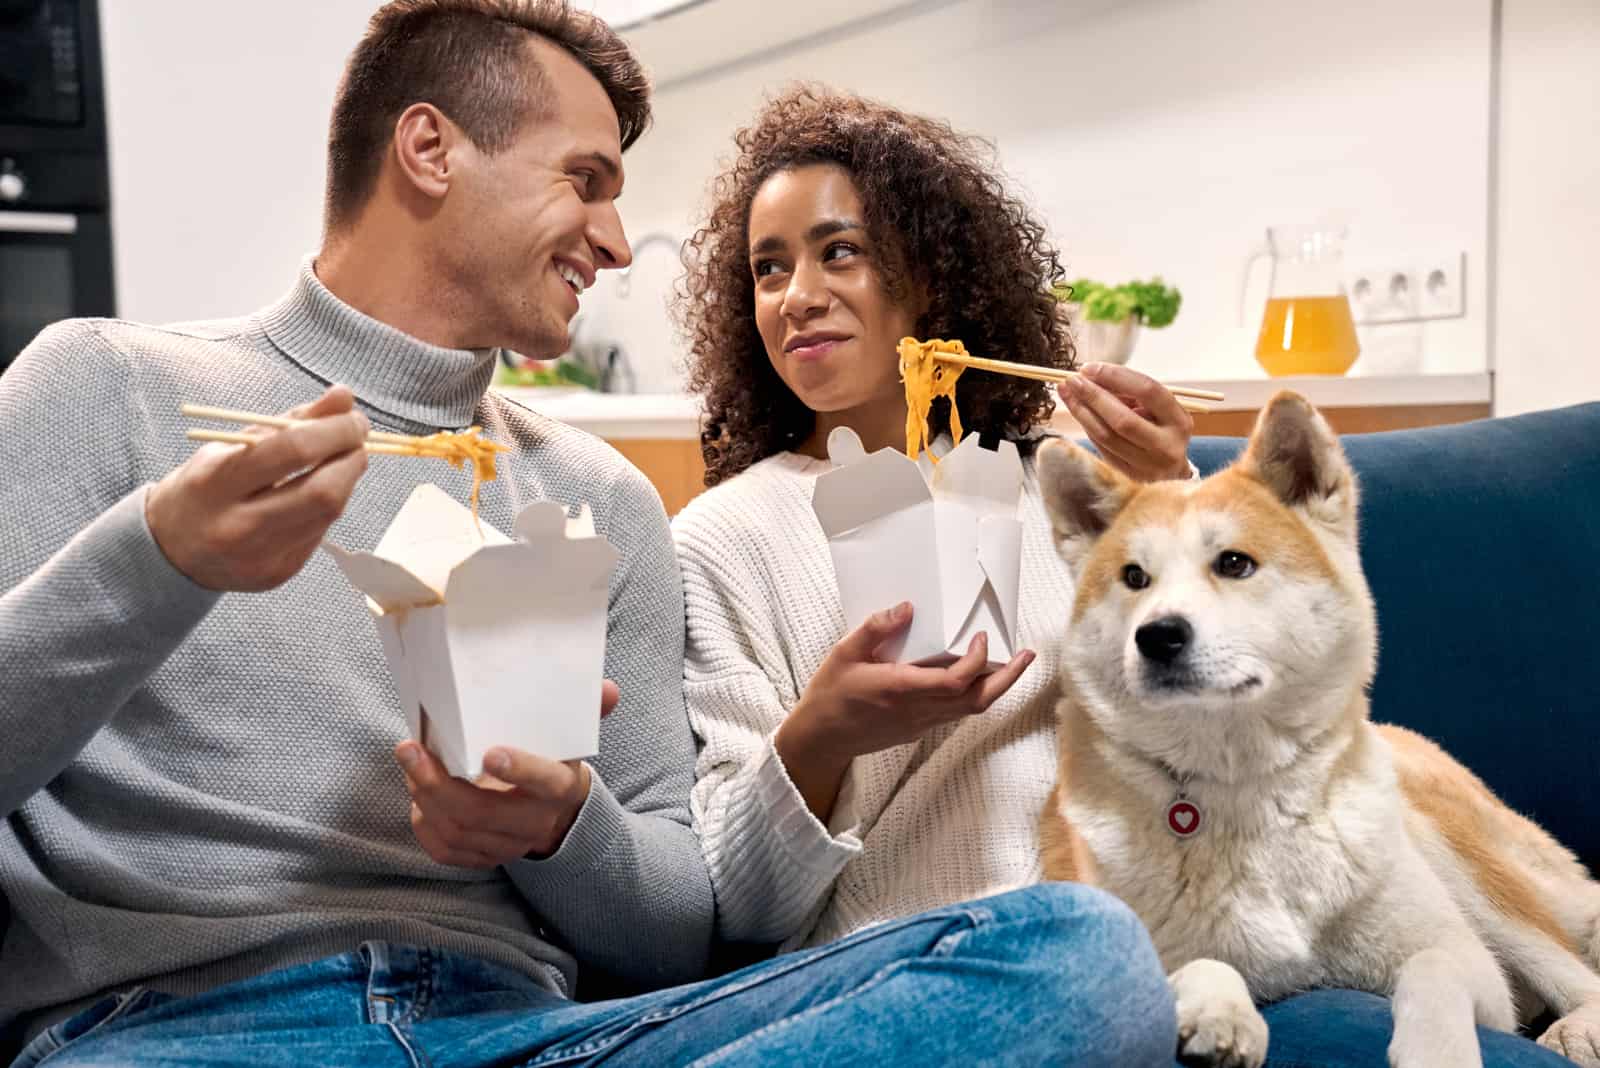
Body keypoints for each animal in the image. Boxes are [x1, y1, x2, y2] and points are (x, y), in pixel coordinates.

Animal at [1030, 394, 1600, 1068]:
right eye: (1134, 578)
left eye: (1234, 563)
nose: (1157, 636)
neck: (1244, 786)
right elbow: (1200, 966)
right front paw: (1221, 1014)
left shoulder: (1476, 973)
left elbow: (1432, 966)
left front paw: (1437, 1048)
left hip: (1460, 856)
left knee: (1570, 965)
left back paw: (1577, 1029)